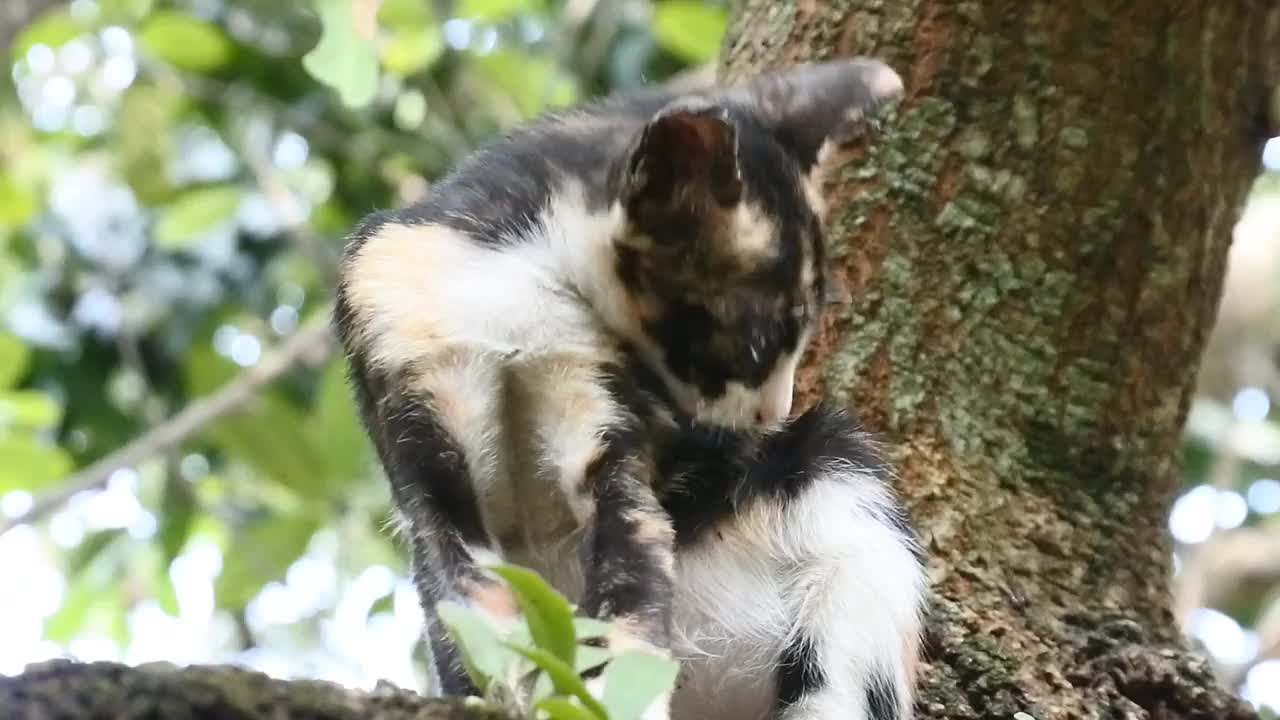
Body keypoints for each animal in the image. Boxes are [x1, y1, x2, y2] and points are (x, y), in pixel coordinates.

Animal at [335, 58, 926, 712]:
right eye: (758, 338)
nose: (778, 410)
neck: (516, 298)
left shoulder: (615, 457)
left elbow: (627, 612)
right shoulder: (425, 456)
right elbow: (468, 620)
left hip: (842, 494)